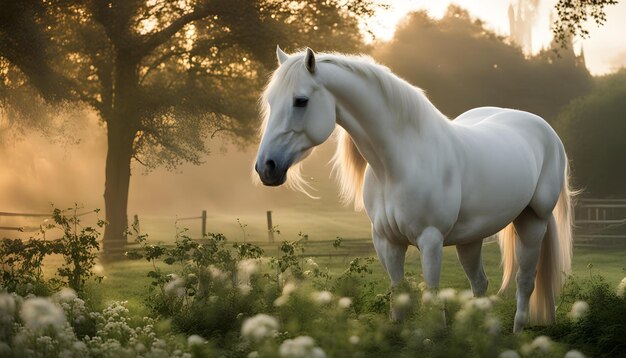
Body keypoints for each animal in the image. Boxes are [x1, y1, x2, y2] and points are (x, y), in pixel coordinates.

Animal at [252, 47, 572, 332]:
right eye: (270, 101)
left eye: (300, 101)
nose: (266, 167)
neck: (399, 163)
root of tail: (544, 129)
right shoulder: (387, 241)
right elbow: (399, 292)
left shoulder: (430, 240)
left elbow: (432, 295)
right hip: (471, 237)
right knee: (480, 283)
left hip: (532, 222)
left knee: (525, 281)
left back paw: (518, 332)